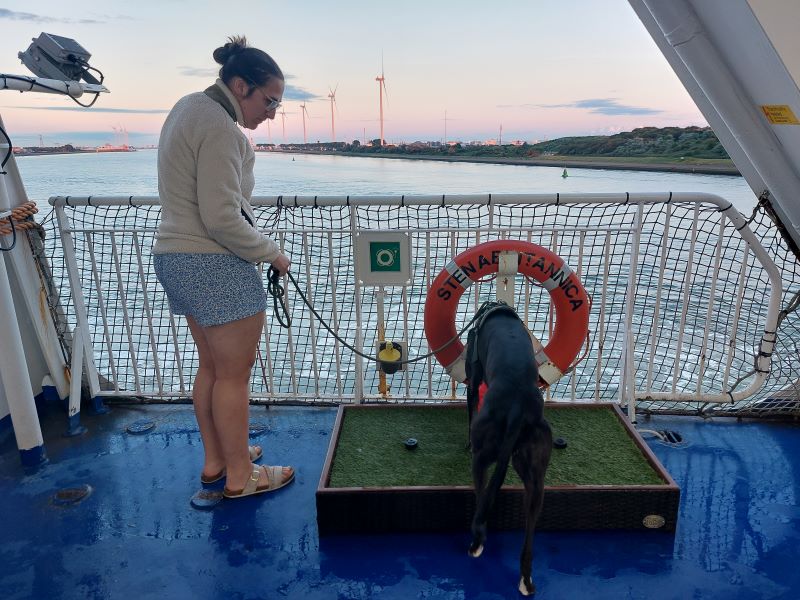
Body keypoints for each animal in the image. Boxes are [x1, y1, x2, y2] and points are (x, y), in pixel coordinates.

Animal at [465, 304, 552, 596]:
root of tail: (519, 405)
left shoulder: (473, 380)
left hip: (483, 456)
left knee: (482, 496)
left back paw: (477, 542)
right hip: (536, 478)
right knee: (528, 540)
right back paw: (526, 580)